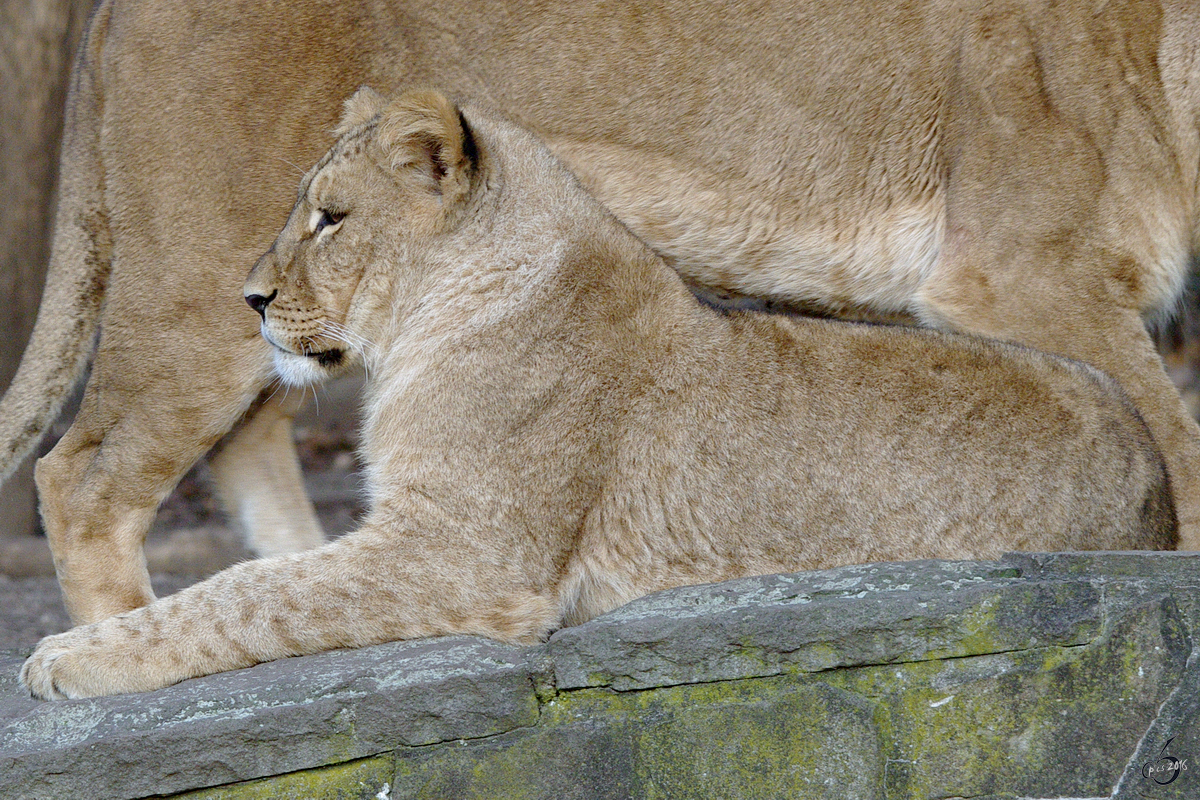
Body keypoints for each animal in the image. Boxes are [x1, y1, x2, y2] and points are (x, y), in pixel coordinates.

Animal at [2, 0, 1200, 623]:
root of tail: (107, 11)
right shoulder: (1014, 272)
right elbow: (1177, 446)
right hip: (205, 282)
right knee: (86, 475)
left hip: (293, 316)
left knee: (247, 441)